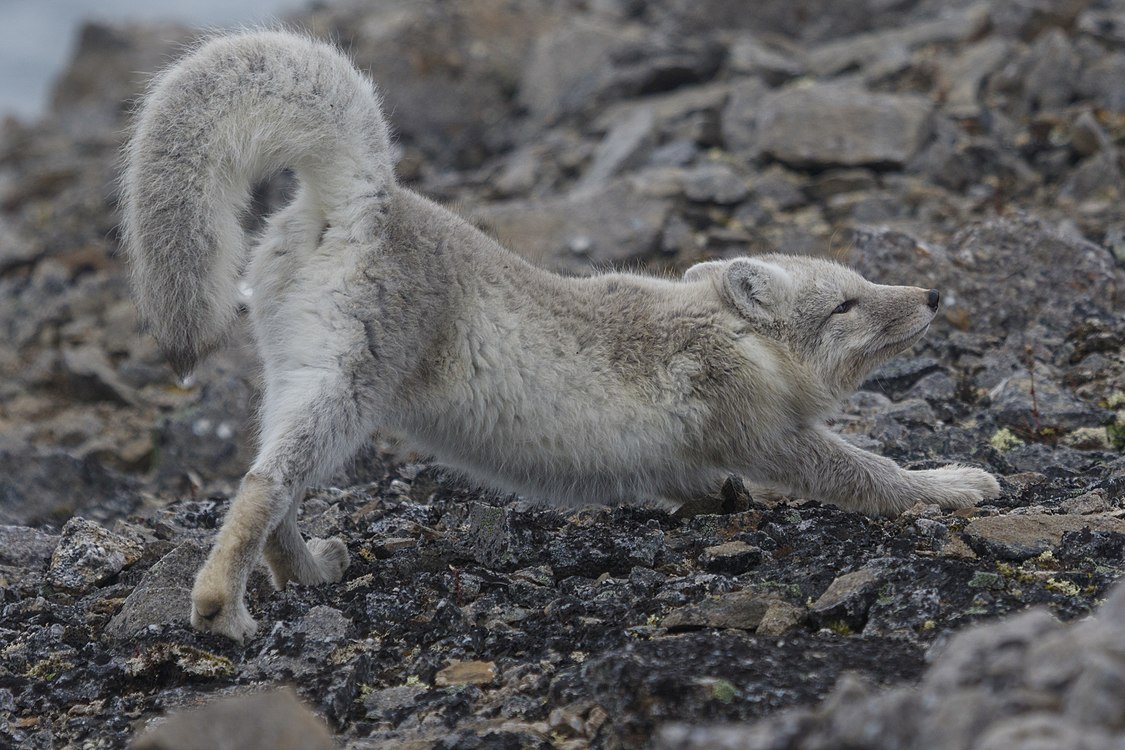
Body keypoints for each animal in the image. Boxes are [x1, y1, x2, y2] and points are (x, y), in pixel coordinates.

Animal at [120, 29, 1003, 638]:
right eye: (844, 305)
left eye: (862, 286)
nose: (930, 294)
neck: (735, 338)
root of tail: (370, 195)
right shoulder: (767, 433)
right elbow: (869, 473)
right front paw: (952, 483)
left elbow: (696, 481)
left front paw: (711, 498)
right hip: (349, 391)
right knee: (264, 484)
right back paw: (221, 606)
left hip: (297, 377)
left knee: (271, 482)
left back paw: (306, 569)